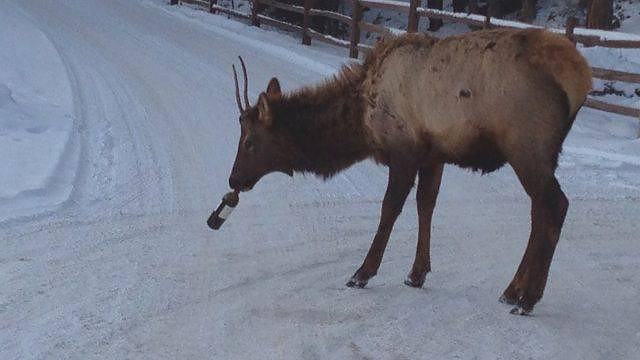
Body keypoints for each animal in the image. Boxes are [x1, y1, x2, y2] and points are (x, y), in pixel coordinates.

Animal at [228, 28, 592, 316]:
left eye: (249, 141)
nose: (234, 179)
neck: (362, 120)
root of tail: (581, 77)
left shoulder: (402, 150)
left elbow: (390, 209)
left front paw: (362, 273)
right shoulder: (433, 155)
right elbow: (425, 205)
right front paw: (417, 273)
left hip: (525, 146)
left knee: (555, 205)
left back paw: (527, 299)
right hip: (539, 154)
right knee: (539, 211)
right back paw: (513, 289)